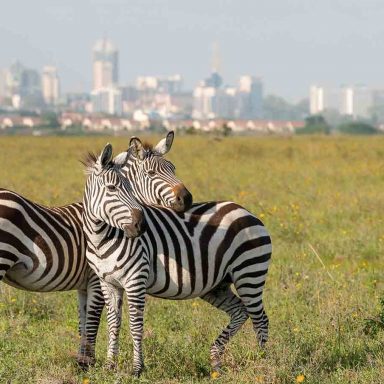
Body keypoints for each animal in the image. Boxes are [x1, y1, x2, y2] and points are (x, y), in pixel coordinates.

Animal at [0, 131, 192, 366]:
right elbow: (93, 321)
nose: (187, 199)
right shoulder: (96, 278)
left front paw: (81, 362)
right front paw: (88, 363)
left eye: (173, 168)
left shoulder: (84, 285)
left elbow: (83, 322)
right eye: (151, 173)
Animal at [82, 142, 272, 376]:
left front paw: (137, 369)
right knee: (240, 311)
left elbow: (135, 325)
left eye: (128, 189)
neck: (102, 238)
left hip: (250, 273)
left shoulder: (135, 281)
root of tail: (247, 212)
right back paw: (216, 360)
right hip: (217, 285)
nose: (140, 226)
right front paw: (109, 366)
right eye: (111, 189)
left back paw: (262, 363)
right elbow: (113, 324)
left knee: (260, 319)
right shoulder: (108, 283)